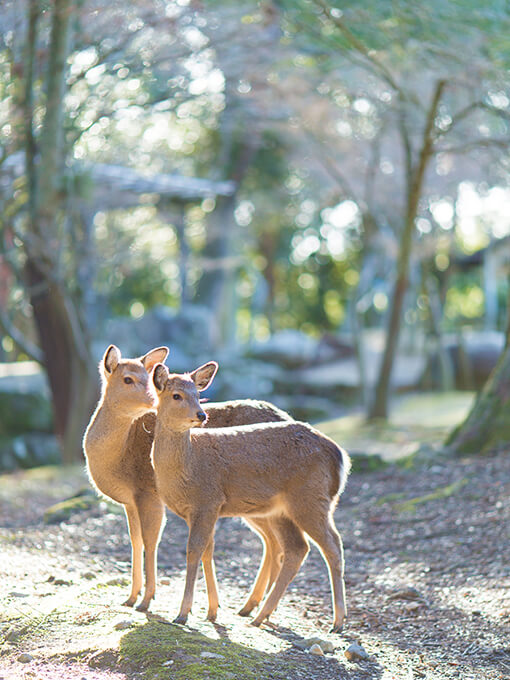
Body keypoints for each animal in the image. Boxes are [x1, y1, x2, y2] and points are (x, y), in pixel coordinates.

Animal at [82, 342, 290, 612]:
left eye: (149, 378)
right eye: (127, 379)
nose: (153, 401)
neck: (117, 461)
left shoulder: (148, 492)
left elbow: (151, 541)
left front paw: (147, 599)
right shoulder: (129, 501)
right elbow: (135, 540)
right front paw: (131, 597)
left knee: (278, 544)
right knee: (273, 543)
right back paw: (251, 605)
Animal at [151, 362, 350, 632]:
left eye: (198, 394)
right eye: (176, 395)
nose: (201, 415)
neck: (188, 468)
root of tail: (340, 457)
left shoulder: (208, 499)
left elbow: (193, 551)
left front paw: (183, 613)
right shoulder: (202, 511)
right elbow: (207, 550)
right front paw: (211, 611)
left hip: (310, 498)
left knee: (332, 545)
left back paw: (337, 621)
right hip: (281, 510)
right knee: (297, 547)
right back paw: (260, 614)